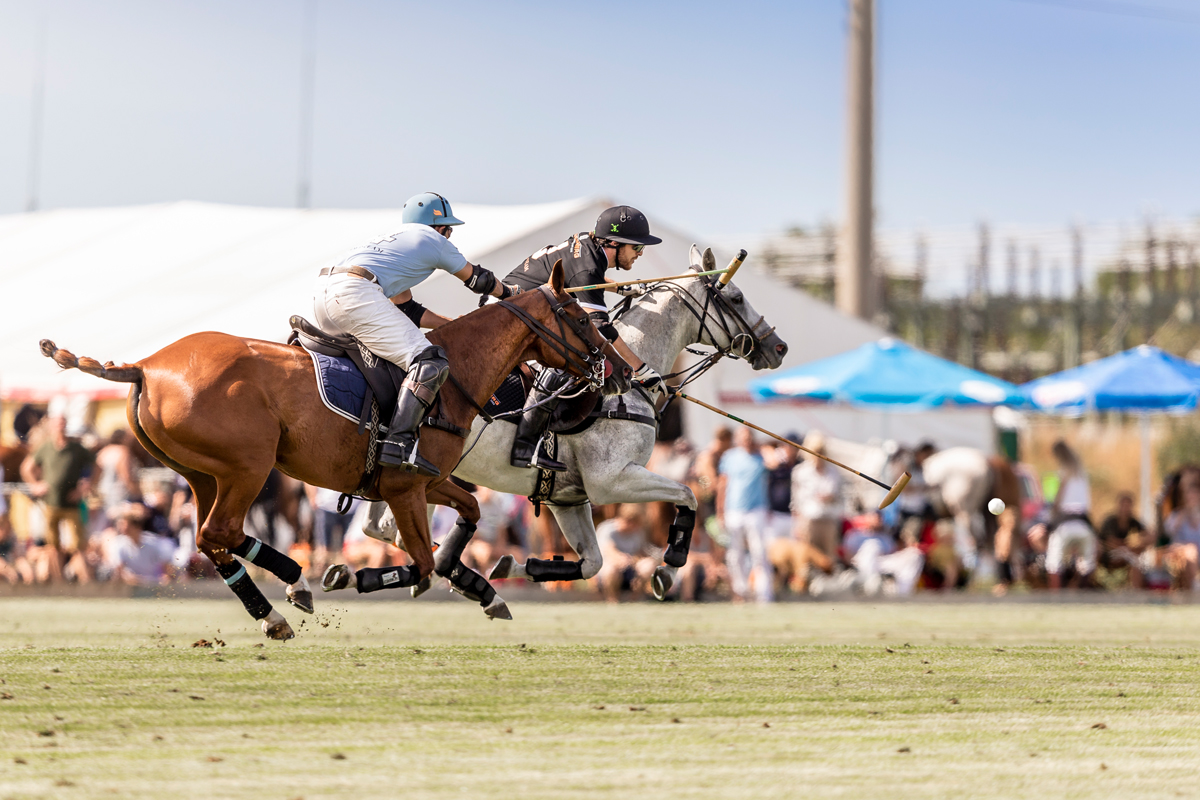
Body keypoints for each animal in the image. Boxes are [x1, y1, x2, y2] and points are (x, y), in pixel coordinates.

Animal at [37, 262, 628, 638]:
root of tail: (145, 365)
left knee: (211, 538)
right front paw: (355, 576)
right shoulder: (404, 485)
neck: (457, 371)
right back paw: (290, 591)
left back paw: (281, 602)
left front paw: (481, 588)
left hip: (202, 473)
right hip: (249, 466)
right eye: (583, 319)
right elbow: (420, 563)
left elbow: (469, 514)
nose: (620, 371)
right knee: (218, 532)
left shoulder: (429, 479)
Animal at [355, 244, 787, 599]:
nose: (777, 347)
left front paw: (514, 565)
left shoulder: (567, 497)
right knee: (391, 530)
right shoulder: (610, 481)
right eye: (736, 297)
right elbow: (688, 494)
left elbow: (592, 562)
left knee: (383, 528)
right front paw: (669, 568)